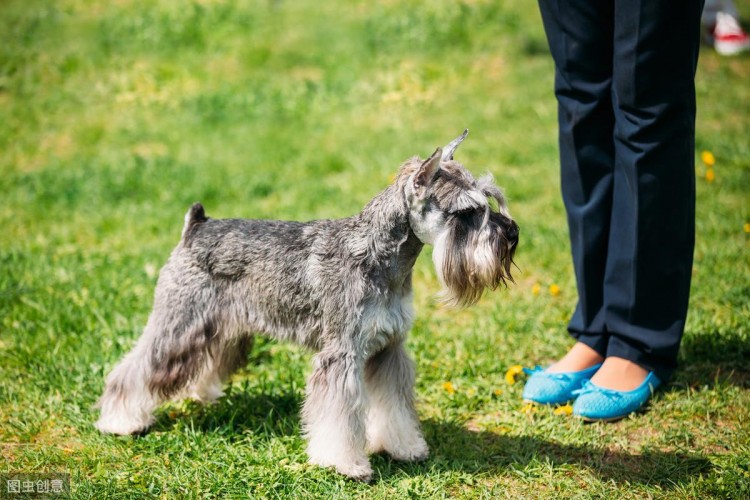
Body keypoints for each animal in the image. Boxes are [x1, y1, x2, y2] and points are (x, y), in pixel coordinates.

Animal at [97, 131, 520, 482]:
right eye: (466, 212)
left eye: (489, 199)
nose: (513, 233)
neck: (380, 256)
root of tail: (196, 225)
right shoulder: (341, 354)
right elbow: (339, 417)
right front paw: (346, 464)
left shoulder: (388, 349)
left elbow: (394, 407)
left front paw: (405, 447)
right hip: (180, 323)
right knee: (136, 368)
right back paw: (120, 421)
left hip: (223, 327)